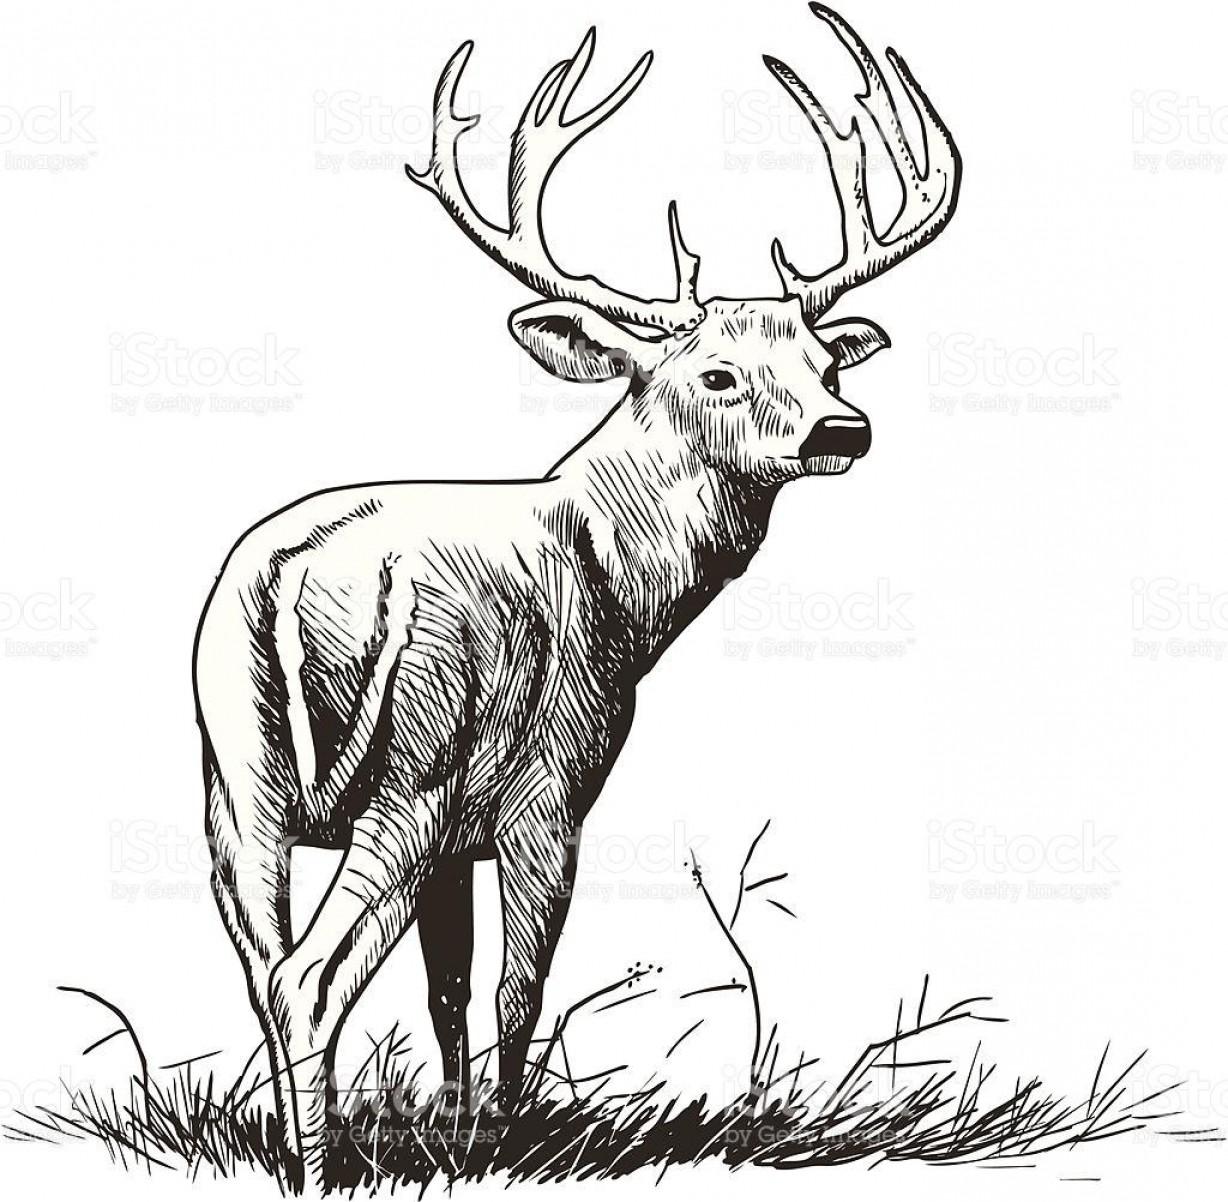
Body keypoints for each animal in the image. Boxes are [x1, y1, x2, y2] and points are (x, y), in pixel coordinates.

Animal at [193, 4, 960, 1190]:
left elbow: (449, 988)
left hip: (236, 778)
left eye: (828, 366)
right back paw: (320, 1170)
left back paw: (293, 1149)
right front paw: (504, 1144)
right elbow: (519, 988)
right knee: (311, 978)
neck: (617, 576)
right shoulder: (546, 788)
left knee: (265, 970)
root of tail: (292, 581)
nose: (844, 427)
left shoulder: (457, 834)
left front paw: (455, 1131)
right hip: (410, 765)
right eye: (715, 375)